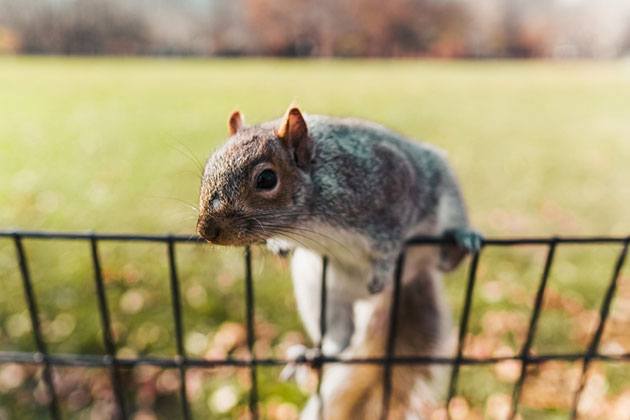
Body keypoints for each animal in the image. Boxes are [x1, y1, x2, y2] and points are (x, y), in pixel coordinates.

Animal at [199, 105, 484, 416]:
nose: (206, 230)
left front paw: (382, 268)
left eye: (266, 179)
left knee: (446, 256)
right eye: (207, 168)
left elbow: (391, 240)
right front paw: (279, 244)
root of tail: (408, 278)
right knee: (340, 339)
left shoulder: (392, 182)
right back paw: (313, 355)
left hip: (443, 199)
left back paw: (459, 243)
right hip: (319, 288)